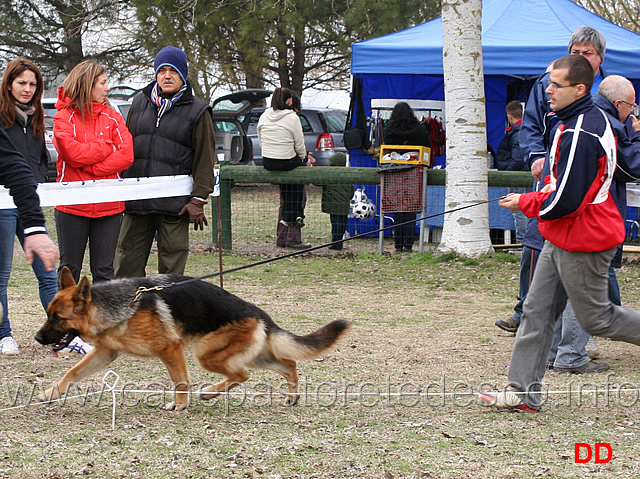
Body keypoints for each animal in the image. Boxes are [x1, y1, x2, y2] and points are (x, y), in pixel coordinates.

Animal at [33, 268, 350, 410]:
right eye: (48, 313)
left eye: (58, 318)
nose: (37, 338)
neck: (119, 307)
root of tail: (258, 312)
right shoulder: (104, 354)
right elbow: (72, 373)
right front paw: (52, 393)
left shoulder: (170, 349)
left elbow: (180, 381)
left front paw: (180, 404)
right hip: (251, 355)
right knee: (288, 365)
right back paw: (292, 396)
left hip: (206, 354)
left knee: (242, 374)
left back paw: (209, 392)